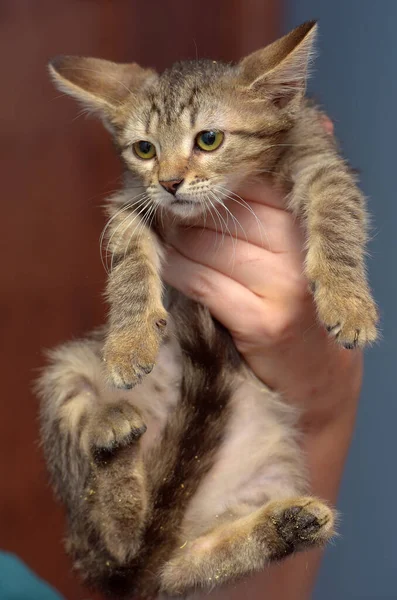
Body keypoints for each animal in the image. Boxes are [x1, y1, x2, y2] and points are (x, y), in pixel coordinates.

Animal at [38, 21, 378, 596]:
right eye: (145, 149)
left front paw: (346, 299)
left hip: (257, 488)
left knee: (177, 567)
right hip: (66, 382)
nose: (171, 182)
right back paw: (113, 449)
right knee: (122, 545)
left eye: (209, 139)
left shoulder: (319, 158)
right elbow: (129, 261)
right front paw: (129, 339)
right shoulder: (132, 202)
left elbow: (336, 215)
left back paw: (287, 526)